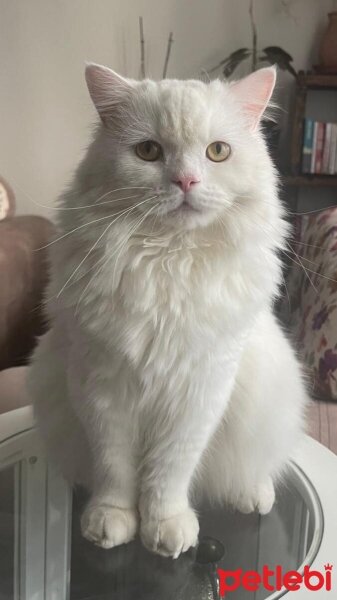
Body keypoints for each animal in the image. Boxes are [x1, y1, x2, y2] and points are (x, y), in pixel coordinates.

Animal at [27, 64, 306, 556]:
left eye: (217, 152)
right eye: (148, 152)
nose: (186, 182)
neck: (169, 260)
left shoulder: (198, 394)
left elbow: (167, 473)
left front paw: (165, 528)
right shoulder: (102, 390)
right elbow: (116, 471)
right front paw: (112, 522)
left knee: (260, 468)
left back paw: (253, 496)